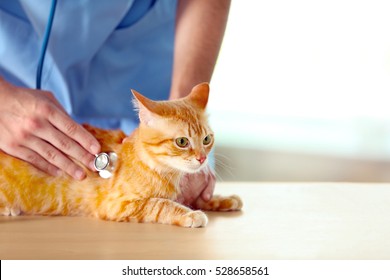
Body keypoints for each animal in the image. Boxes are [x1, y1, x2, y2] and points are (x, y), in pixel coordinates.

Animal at [0, 83, 242, 228]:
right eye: (182, 142)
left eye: (207, 139)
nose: (202, 158)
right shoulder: (119, 205)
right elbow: (160, 205)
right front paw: (190, 214)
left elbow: (196, 199)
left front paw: (221, 199)